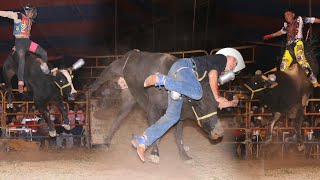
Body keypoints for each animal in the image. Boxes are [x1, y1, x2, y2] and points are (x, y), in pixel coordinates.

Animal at [90, 49, 225, 160]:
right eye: (199, 106)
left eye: (216, 105)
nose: (218, 132)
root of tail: (131, 53)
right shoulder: (153, 110)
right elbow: (156, 130)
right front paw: (155, 153)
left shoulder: (179, 116)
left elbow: (178, 135)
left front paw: (184, 156)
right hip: (110, 71)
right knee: (96, 84)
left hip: (129, 99)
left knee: (118, 119)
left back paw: (106, 142)